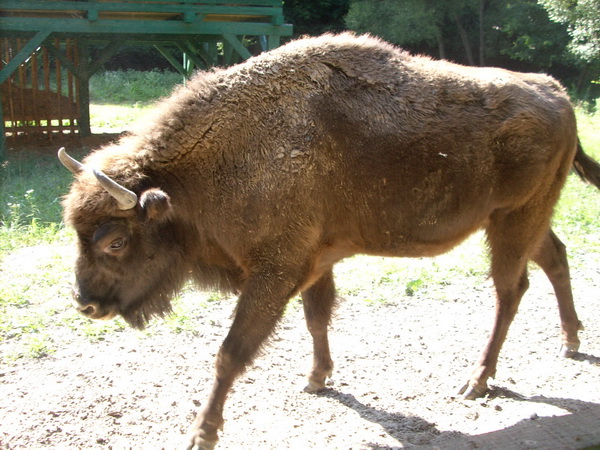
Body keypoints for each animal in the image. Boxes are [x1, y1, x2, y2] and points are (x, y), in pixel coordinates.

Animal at [61, 32, 600, 450]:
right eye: (74, 230)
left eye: (114, 241)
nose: (85, 304)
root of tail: (556, 92)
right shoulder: (315, 262)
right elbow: (316, 318)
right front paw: (317, 379)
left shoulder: (274, 272)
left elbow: (231, 352)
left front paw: (202, 434)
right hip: (522, 218)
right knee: (554, 258)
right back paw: (570, 341)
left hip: (513, 220)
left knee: (510, 289)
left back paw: (477, 380)